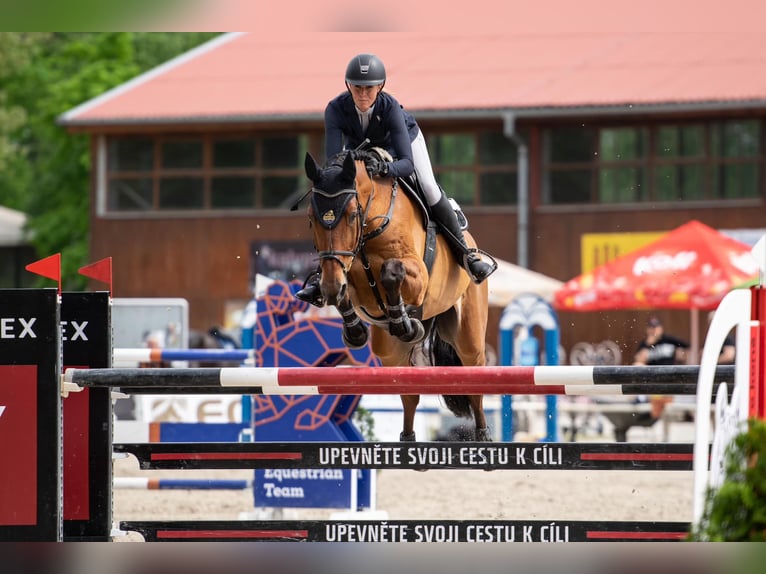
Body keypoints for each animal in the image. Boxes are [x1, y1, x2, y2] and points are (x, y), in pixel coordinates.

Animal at [302, 151, 488, 444]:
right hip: (389, 353)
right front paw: (355, 330)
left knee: (475, 386)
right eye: (311, 217)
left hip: (469, 338)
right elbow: (347, 284)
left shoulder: (418, 277)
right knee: (409, 396)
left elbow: (392, 271)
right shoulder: (347, 274)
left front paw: (400, 319)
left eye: (352, 215)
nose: (332, 287)